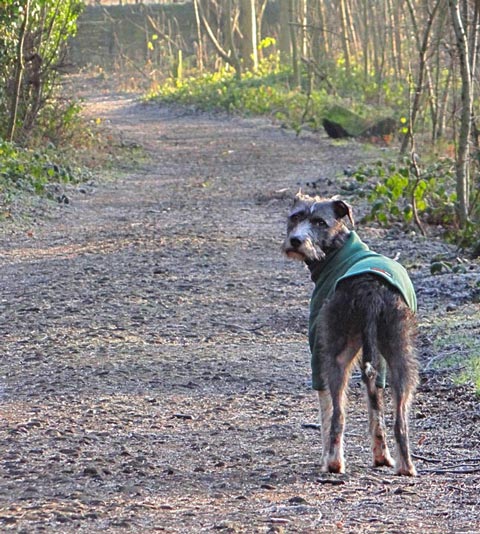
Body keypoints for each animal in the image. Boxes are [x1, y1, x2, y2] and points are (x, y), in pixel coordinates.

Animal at [284, 192, 418, 478]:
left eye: (320, 222)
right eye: (296, 217)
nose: (296, 241)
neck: (337, 248)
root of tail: (371, 289)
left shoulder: (318, 349)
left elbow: (326, 411)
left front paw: (325, 455)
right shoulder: (378, 360)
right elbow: (375, 409)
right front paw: (381, 457)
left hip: (336, 354)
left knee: (338, 415)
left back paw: (334, 462)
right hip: (400, 352)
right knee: (399, 418)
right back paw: (405, 466)